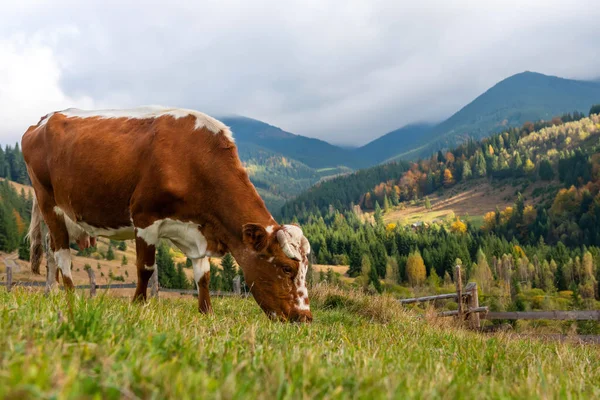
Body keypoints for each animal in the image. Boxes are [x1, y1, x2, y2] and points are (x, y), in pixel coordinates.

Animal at [22, 106, 314, 322]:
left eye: (305, 270)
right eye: (287, 268)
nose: (305, 318)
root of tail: (44, 119)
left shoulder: (197, 229)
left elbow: (203, 275)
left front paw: (206, 313)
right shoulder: (145, 218)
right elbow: (145, 268)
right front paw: (139, 306)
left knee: (50, 252)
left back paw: (52, 293)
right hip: (48, 202)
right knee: (62, 253)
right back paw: (71, 296)